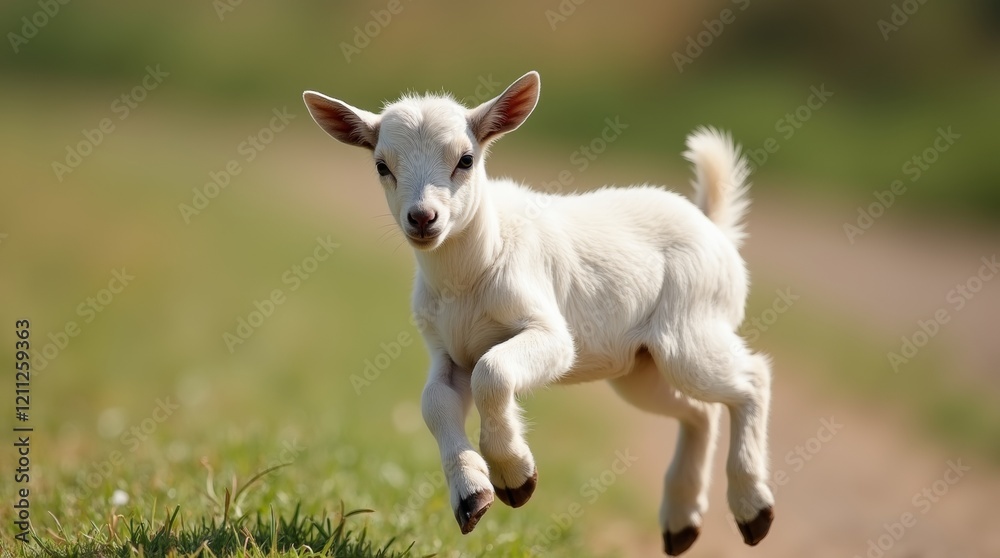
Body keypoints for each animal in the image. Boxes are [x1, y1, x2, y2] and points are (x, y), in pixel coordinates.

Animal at [303, 71, 774, 555]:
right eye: (382, 166)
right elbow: (435, 403)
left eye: (466, 160)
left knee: (752, 379)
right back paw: (683, 523)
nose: (422, 218)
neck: (467, 278)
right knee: (700, 411)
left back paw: (753, 509)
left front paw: (515, 477)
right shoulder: (447, 351)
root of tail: (715, 229)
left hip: (691, 329)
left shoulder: (549, 333)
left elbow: (493, 373)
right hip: (640, 367)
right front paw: (472, 496)